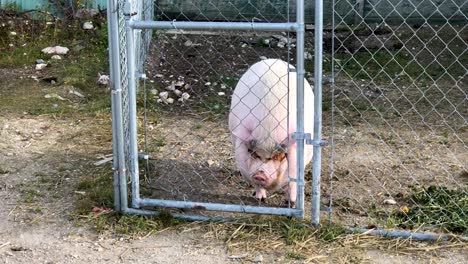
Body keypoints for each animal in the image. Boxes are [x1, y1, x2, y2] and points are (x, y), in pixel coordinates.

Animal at [228, 59, 314, 206]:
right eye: (253, 153)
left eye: (279, 156)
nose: (260, 174)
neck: (268, 128)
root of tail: (274, 60)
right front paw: (260, 199)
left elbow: (293, 183)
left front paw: (291, 203)